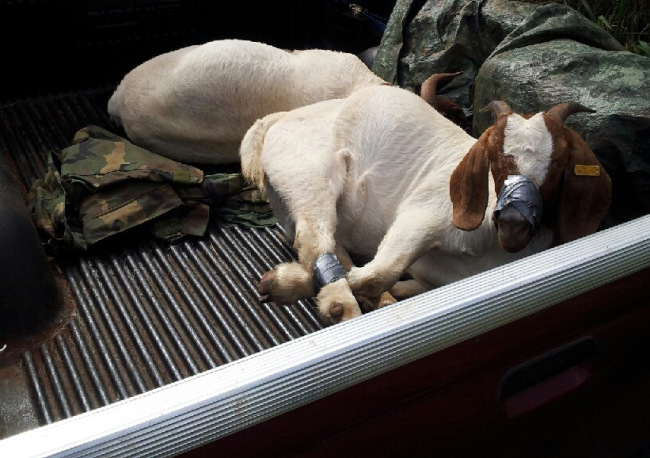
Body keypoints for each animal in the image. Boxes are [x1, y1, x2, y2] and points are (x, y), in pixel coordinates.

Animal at [240, 85, 612, 325]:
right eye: (493, 157)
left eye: (559, 164)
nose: (513, 224)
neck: (489, 248)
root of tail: (278, 119)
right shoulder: (422, 214)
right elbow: (381, 271)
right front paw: (288, 286)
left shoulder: (435, 277)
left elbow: (398, 283)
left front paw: (381, 297)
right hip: (310, 175)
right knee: (315, 237)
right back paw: (340, 305)